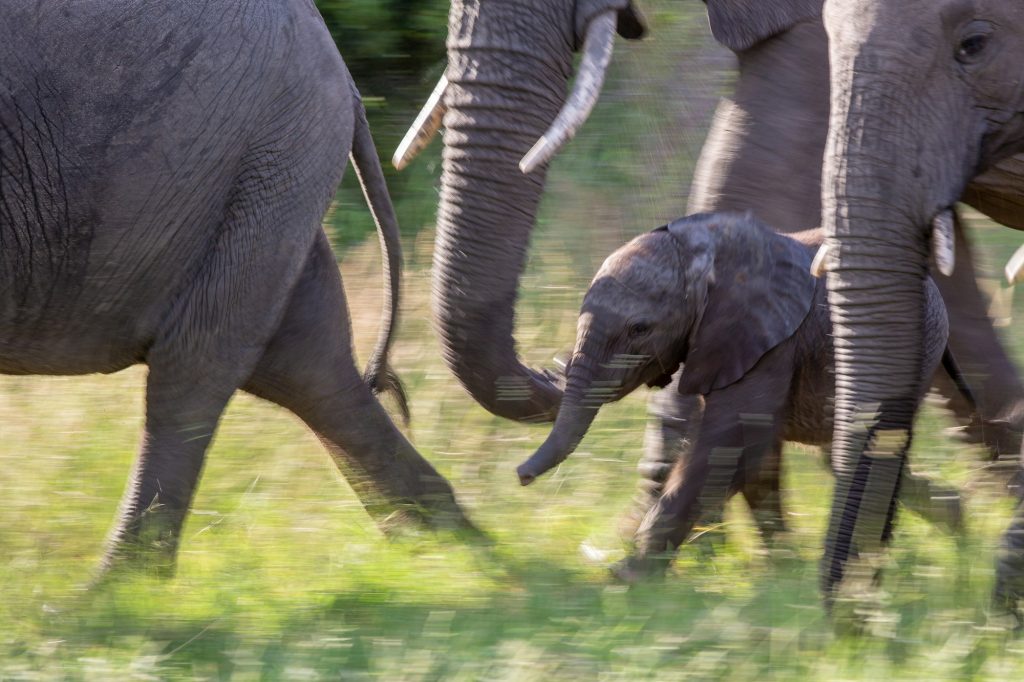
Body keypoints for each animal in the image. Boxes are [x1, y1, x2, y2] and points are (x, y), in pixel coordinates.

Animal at [520, 210, 958, 573]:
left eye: (639, 329)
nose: (520, 476)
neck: (702, 250)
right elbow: (749, 448)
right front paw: (781, 571)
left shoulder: (770, 339)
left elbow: (730, 439)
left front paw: (627, 577)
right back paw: (954, 524)